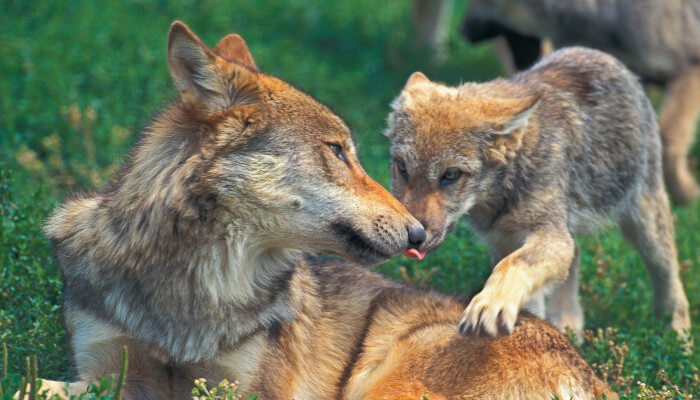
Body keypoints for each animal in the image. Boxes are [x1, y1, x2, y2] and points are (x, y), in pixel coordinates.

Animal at [30, 21, 616, 400]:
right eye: (337, 151)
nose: (419, 232)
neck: (193, 292)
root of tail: (593, 377)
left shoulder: (250, 391)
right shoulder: (107, 368)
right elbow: (41, 385)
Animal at [386, 47, 692, 340]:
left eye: (450, 176)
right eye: (402, 168)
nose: (413, 237)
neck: (501, 196)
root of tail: (601, 55)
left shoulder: (547, 236)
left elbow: (512, 266)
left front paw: (488, 306)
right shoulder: (507, 241)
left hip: (644, 228)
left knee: (670, 278)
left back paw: (678, 337)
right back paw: (569, 327)